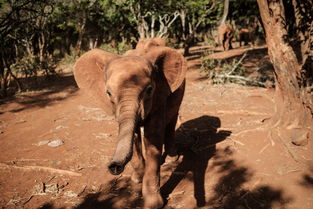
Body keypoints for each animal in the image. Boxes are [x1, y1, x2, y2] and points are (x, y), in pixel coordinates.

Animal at [73, 40, 185, 208]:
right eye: (108, 93)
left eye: (149, 90)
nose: (114, 167)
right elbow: (135, 136)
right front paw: (136, 179)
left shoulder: (159, 96)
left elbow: (153, 137)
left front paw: (153, 204)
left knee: (171, 121)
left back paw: (172, 159)